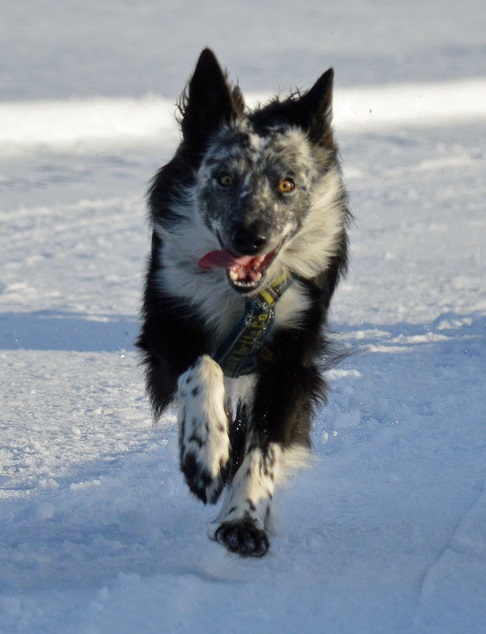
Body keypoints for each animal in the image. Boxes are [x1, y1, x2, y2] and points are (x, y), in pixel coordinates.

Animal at [137, 48, 350, 552]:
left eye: (287, 183)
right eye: (224, 177)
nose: (249, 237)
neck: (243, 296)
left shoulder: (292, 356)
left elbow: (266, 443)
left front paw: (244, 519)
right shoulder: (165, 322)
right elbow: (202, 368)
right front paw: (204, 458)